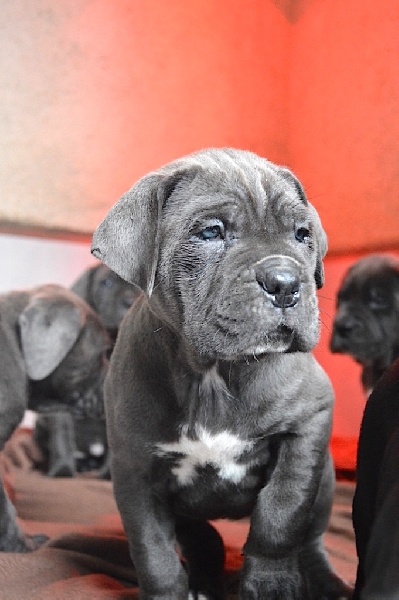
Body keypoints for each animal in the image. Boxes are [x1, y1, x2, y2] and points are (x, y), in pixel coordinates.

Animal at [92, 148, 352, 596]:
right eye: (211, 232)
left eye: (303, 235)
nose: (285, 282)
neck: (214, 373)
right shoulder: (133, 471)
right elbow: (153, 552)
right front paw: (169, 592)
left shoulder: (308, 424)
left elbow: (281, 514)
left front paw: (271, 586)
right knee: (201, 537)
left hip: (327, 481)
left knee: (312, 537)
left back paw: (325, 581)